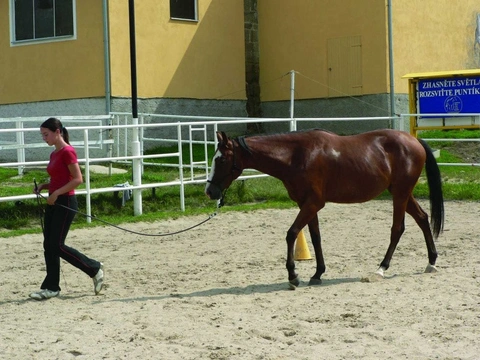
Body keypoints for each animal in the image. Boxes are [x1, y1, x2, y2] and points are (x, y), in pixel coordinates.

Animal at [204, 128, 444, 288]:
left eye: (222, 159)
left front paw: (293, 276)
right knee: (422, 218)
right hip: (402, 193)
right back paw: (431, 262)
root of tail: (414, 140)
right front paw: (317, 273)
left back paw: (381, 268)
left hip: (400, 194)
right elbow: (315, 237)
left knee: (397, 228)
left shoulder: (313, 203)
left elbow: (292, 233)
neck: (296, 155)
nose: (210, 191)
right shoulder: (307, 204)